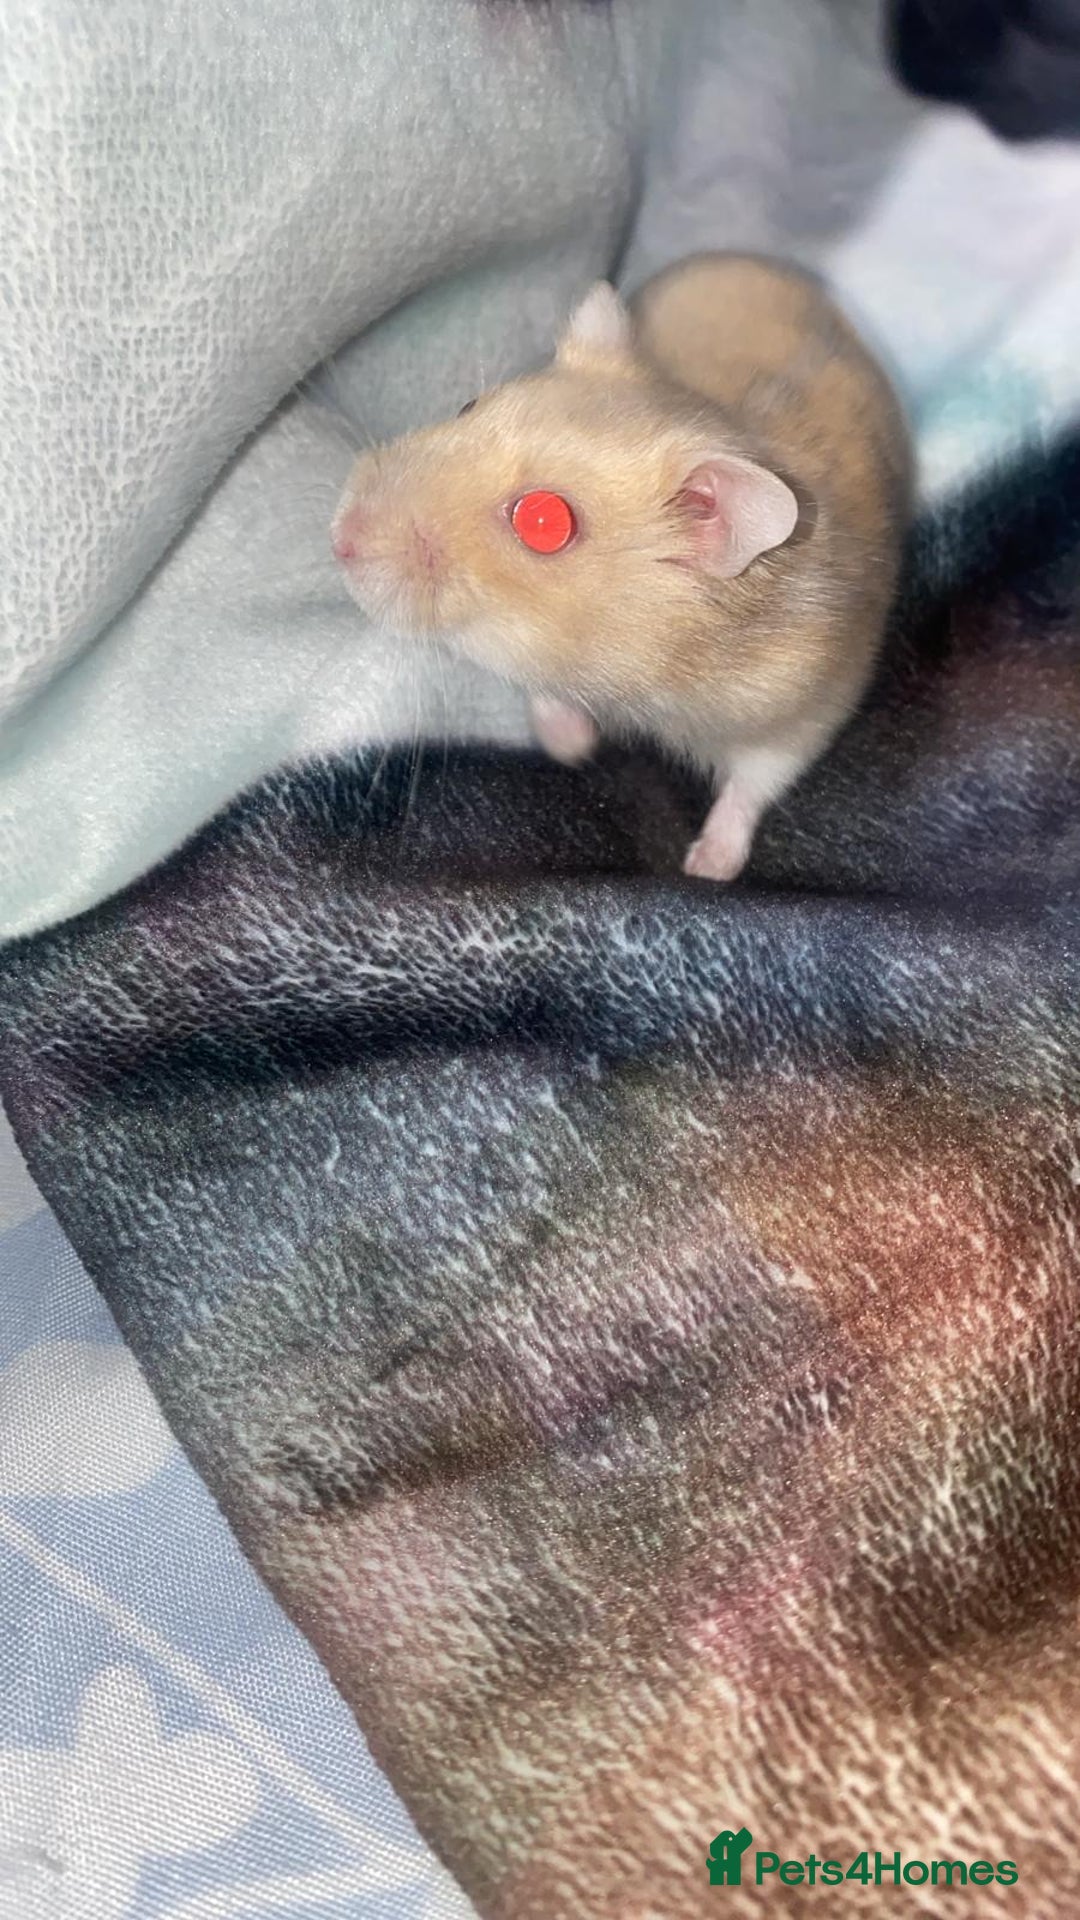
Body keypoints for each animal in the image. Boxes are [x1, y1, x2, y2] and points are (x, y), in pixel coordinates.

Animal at [332, 253, 912, 879]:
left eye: (543, 521)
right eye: (468, 408)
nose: (339, 537)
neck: (642, 670)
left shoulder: (809, 700)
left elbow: (755, 783)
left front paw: (706, 868)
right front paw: (572, 747)